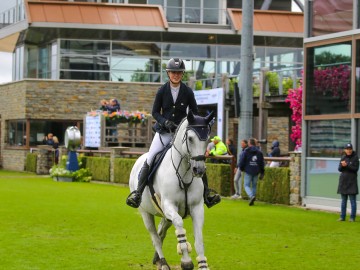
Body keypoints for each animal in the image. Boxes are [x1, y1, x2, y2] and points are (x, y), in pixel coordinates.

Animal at [129, 110, 214, 268]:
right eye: (190, 138)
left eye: (207, 139)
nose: (199, 170)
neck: (184, 173)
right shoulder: (169, 206)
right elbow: (180, 226)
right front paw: (186, 261)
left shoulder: (197, 208)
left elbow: (199, 241)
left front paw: (203, 265)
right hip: (145, 212)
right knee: (155, 237)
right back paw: (163, 263)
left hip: (164, 215)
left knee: (161, 232)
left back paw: (157, 259)